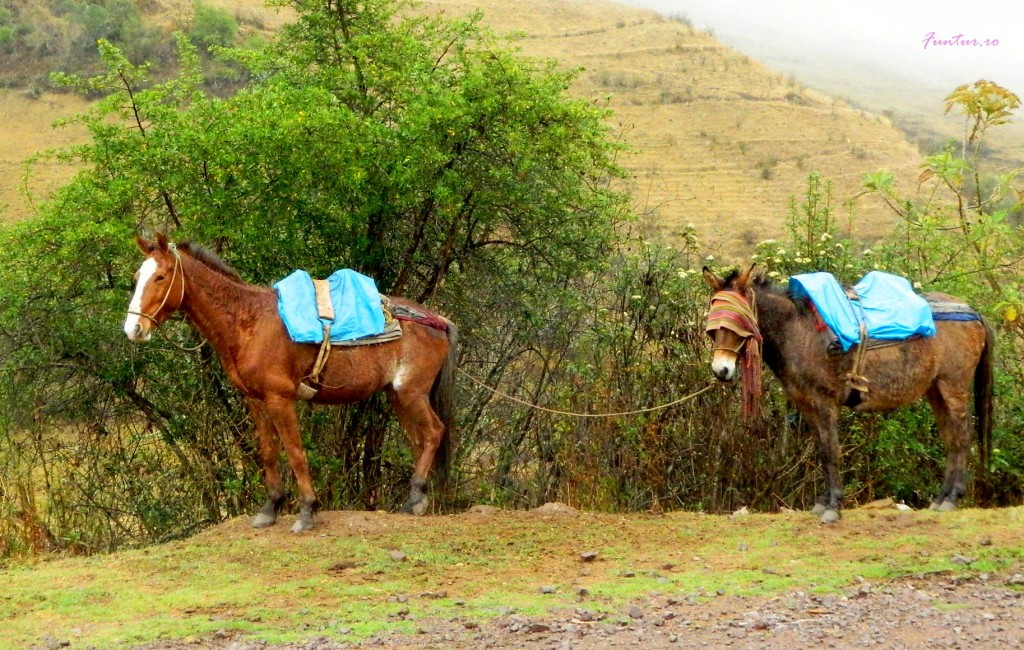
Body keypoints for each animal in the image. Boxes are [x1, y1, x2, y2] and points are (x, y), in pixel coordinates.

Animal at [121, 236, 454, 532]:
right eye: (138, 277)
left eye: (160, 276)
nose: (133, 328)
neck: (247, 322)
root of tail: (438, 320)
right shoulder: (256, 400)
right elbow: (269, 452)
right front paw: (271, 508)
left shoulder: (280, 399)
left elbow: (295, 452)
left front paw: (307, 511)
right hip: (397, 396)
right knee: (420, 440)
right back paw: (416, 499)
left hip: (412, 393)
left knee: (434, 433)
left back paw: (415, 497)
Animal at [704, 264, 991, 524]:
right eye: (713, 327)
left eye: (736, 323)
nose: (721, 370)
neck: (799, 331)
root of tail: (971, 311)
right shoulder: (807, 405)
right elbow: (822, 451)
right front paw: (822, 503)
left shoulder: (824, 402)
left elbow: (831, 451)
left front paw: (833, 507)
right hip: (936, 390)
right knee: (951, 439)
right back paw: (941, 498)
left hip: (953, 386)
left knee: (962, 436)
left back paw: (952, 498)